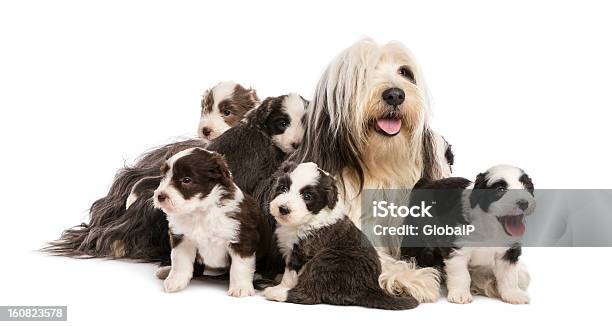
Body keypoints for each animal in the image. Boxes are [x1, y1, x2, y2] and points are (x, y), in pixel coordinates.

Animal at [152, 149, 270, 298]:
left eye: (186, 180)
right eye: (164, 177)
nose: (160, 196)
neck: (200, 211)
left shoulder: (242, 238)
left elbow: (240, 266)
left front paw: (241, 288)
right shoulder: (182, 238)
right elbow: (180, 262)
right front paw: (175, 281)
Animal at [260, 163, 418, 312]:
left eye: (307, 197)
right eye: (282, 188)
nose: (283, 209)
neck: (309, 218)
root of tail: (369, 287)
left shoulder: (302, 251)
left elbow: (290, 273)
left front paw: (282, 285)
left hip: (327, 261)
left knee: (310, 294)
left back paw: (275, 293)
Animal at [402, 165, 536, 306]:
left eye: (528, 187)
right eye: (500, 189)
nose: (524, 203)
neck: (489, 227)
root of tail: (425, 182)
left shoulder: (508, 252)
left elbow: (508, 275)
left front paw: (513, 294)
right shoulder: (456, 247)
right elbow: (461, 275)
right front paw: (460, 294)